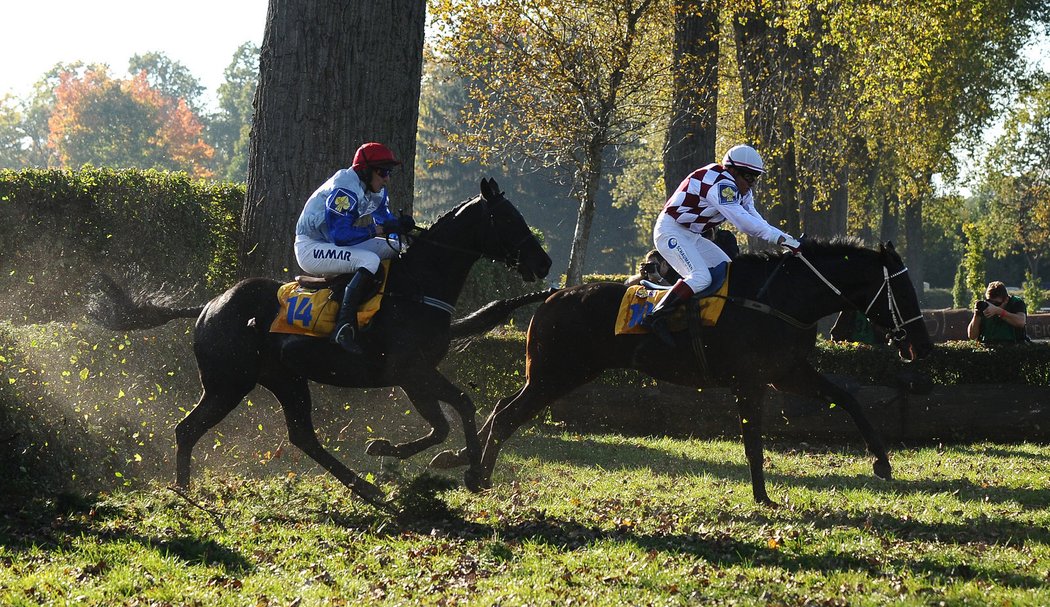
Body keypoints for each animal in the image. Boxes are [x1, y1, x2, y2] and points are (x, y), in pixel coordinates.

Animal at [91, 177, 554, 504]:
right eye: (509, 219)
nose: (544, 262)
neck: (416, 287)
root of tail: (208, 306)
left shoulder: (414, 375)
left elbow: (444, 422)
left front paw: (390, 451)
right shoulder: (411, 371)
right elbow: (459, 407)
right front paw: (471, 472)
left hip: (284, 380)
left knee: (301, 436)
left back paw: (365, 488)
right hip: (229, 384)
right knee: (188, 429)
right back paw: (185, 491)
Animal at [434, 238, 936, 504]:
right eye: (903, 291)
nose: (923, 346)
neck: (780, 300)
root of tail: (553, 295)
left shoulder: (787, 371)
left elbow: (849, 398)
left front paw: (882, 461)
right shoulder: (752, 380)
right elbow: (753, 441)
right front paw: (762, 496)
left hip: (555, 375)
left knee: (502, 406)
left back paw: (462, 461)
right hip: (557, 374)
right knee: (507, 414)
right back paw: (476, 475)